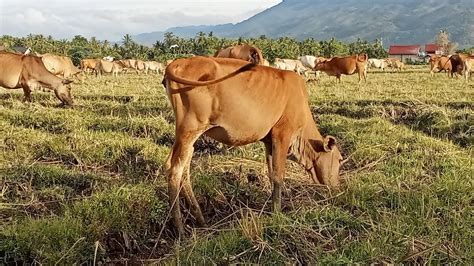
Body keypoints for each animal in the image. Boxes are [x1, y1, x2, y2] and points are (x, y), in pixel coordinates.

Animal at [163, 56, 344, 235]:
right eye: (339, 160)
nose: (338, 187)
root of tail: (179, 62)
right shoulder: (282, 133)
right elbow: (278, 176)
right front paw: (277, 214)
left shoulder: (269, 141)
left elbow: (271, 174)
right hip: (190, 129)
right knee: (175, 170)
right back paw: (180, 228)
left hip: (187, 137)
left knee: (182, 168)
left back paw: (200, 220)